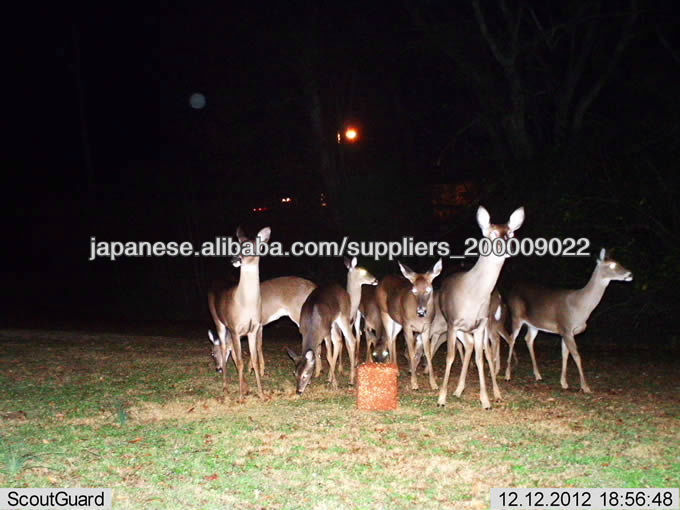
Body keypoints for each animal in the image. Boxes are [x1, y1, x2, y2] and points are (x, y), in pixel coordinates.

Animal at [209, 225, 270, 400]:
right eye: (236, 246)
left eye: (251, 247)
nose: (234, 259)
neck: (246, 304)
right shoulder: (235, 328)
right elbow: (241, 361)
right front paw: (241, 397)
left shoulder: (253, 329)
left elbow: (253, 360)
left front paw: (261, 394)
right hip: (219, 321)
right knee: (224, 349)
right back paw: (226, 388)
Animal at [284, 256, 374, 392]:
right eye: (295, 374)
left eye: (305, 374)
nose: (298, 391)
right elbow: (322, 351)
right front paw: (328, 376)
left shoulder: (328, 331)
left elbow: (330, 355)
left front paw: (334, 382)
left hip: (343, 319)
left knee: (353, 339)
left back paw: (351, 378)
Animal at [374, 258, 444, 390]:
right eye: (414, 290)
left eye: (428, 289)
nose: (421, 310)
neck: (419, 319)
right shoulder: (407, 325)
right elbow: (411, 352)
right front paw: (414, 383)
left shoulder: (426, 328)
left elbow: (428, 352)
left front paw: (434, 384)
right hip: (385, 313)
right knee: (389, 339)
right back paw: (394, 369)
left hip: (398, 321)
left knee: (393, 338)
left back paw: (396, 369)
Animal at [436, 205, 524, 408]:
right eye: (492, 234)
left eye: (511, 233)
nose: (510, 247)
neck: (473, 295)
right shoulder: (453, 322)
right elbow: (450, 356)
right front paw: (441, 398)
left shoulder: (481, 323)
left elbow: (480, 359)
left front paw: (485, 400)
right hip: (461, 327)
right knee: (469, 347)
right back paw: (457, 390)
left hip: (487, 325)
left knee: (484, 351)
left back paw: (495, 393)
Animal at [504, 249, 632, 392]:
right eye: (612, 265)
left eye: (619, 262)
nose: (630, 274)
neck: (580, 306)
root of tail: (512, 290)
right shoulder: (566, 328)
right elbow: (576, 355)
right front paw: (585, 387)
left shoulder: (565, 332)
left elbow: (565, 354)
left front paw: (564, 383)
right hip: (516, 315)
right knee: (512, 338)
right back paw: (507, 375)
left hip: (534, 324)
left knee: (528, 339)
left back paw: (538, 375)